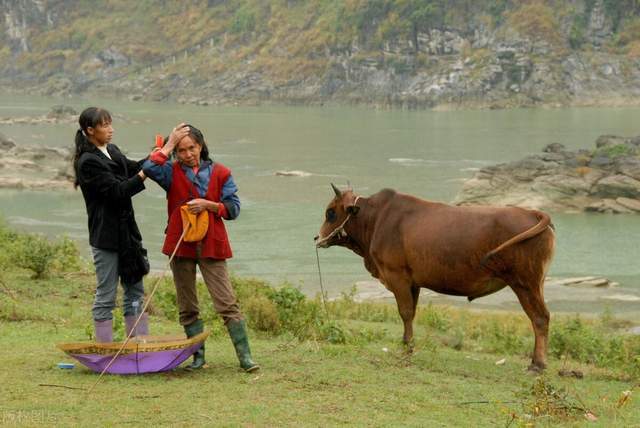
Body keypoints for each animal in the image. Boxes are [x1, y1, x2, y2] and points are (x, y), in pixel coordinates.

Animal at [316, 185, 556, 372]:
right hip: (537, 283)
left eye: (331, 213)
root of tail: (532, 213)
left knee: (540, 318)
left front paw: (407, 349)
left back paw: (537, 365)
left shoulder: (397, 276)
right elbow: (411, 313)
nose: (317, 238)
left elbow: (404, 312)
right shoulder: (413, 282)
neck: (376, 220)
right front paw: (407, 345)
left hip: (525, 283)